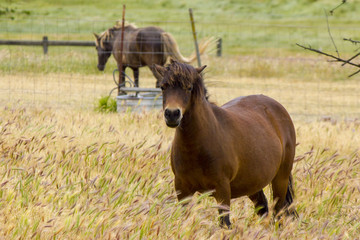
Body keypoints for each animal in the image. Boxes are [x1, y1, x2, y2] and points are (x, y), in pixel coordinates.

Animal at [155, 60, 298, 229]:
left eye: (188, 88)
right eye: (163, 87)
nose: (172, 114)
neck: (198, 146)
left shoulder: (222, 190)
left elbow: (225, 223)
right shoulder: (182, 190)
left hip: (280, 179)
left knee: (279, 212)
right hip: (252, 183)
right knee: (263, 208)